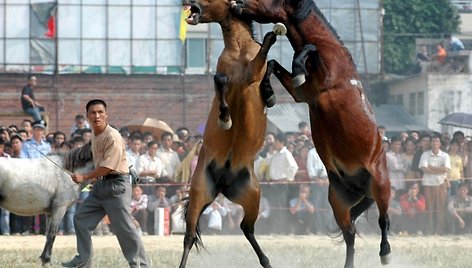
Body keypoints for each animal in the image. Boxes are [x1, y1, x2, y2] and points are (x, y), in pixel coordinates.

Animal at [177, 0, 280, 268]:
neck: (239, 50)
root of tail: (222, 183)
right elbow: (220, 80)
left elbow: (269, 64)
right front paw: (225, 118)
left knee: (247, 228)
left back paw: (266, 261)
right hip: (199, 192)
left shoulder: (254, 72)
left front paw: (269, 93)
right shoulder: (230, 76)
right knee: (189, 236)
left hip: (252, 196)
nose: (185, 3)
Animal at [231, 1, 390, 266]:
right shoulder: (302, 94)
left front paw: (296, 67)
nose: (237, 4)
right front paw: (269, 93)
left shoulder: (318, 88)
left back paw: (385, 252)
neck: (329, 50)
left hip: (382, 186)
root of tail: (361, 188)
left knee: (383, 220)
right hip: (338, 201)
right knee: (350, 233)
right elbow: (273, 64)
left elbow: (306, 50)